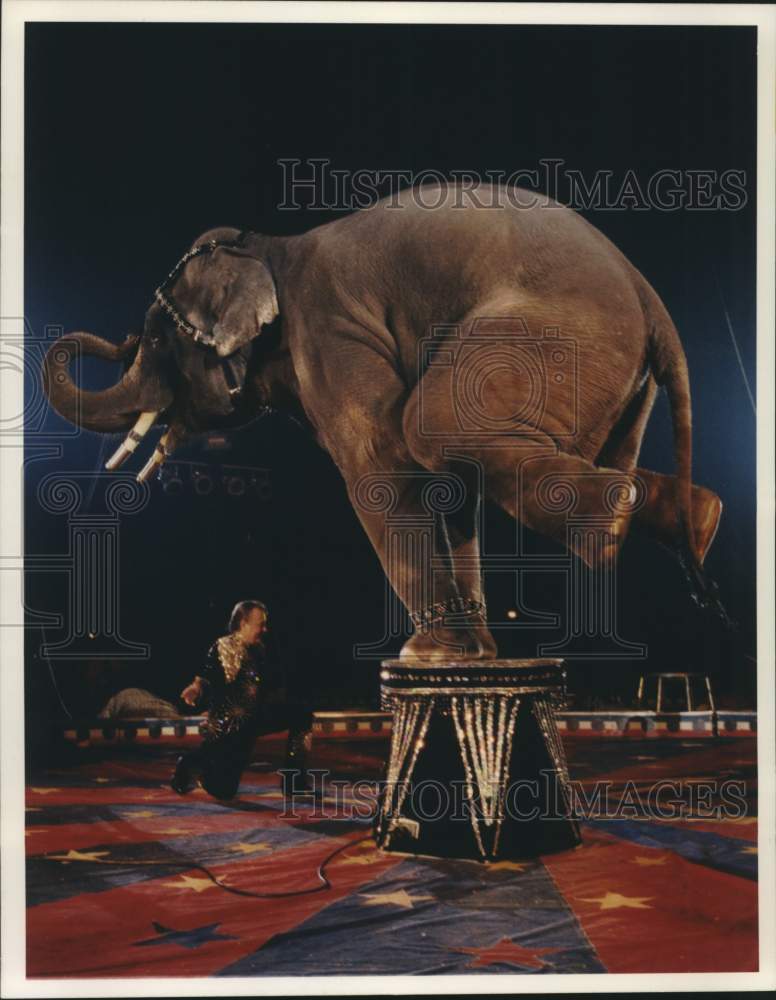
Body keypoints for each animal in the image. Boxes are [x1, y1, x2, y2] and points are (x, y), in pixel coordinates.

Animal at [43, 183, 728, 660]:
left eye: (158, 340)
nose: (120, 338)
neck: (267, 246)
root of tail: (649, 297)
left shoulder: (330, 328)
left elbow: (384, 463)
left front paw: (427, 653)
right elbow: (449, 492)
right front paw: (469, 654)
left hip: (552, 337)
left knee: (432, 425)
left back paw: (611, 530)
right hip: (617, 380)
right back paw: (692, 518)